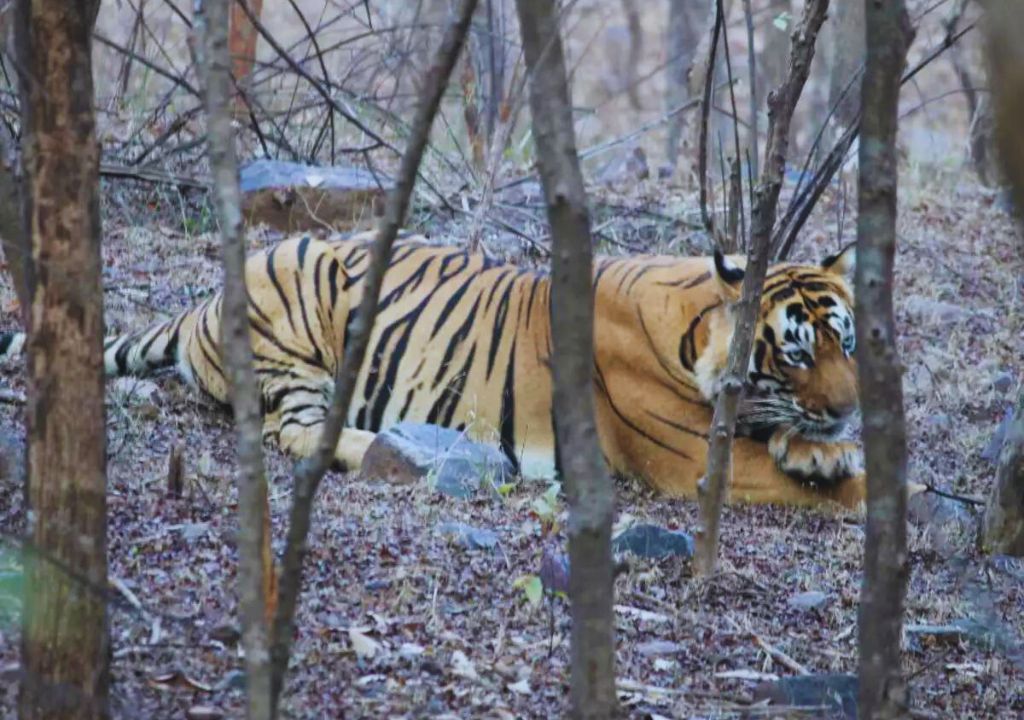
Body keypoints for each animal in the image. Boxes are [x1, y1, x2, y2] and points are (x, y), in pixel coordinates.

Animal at [0, 231, 866, 508]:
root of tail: (202, 305)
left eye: (846, 344)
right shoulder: (693, 459)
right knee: (293, 432)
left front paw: (822, 451)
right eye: (795, 351)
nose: (850, 410)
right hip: (300, 303)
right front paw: (843, 464)